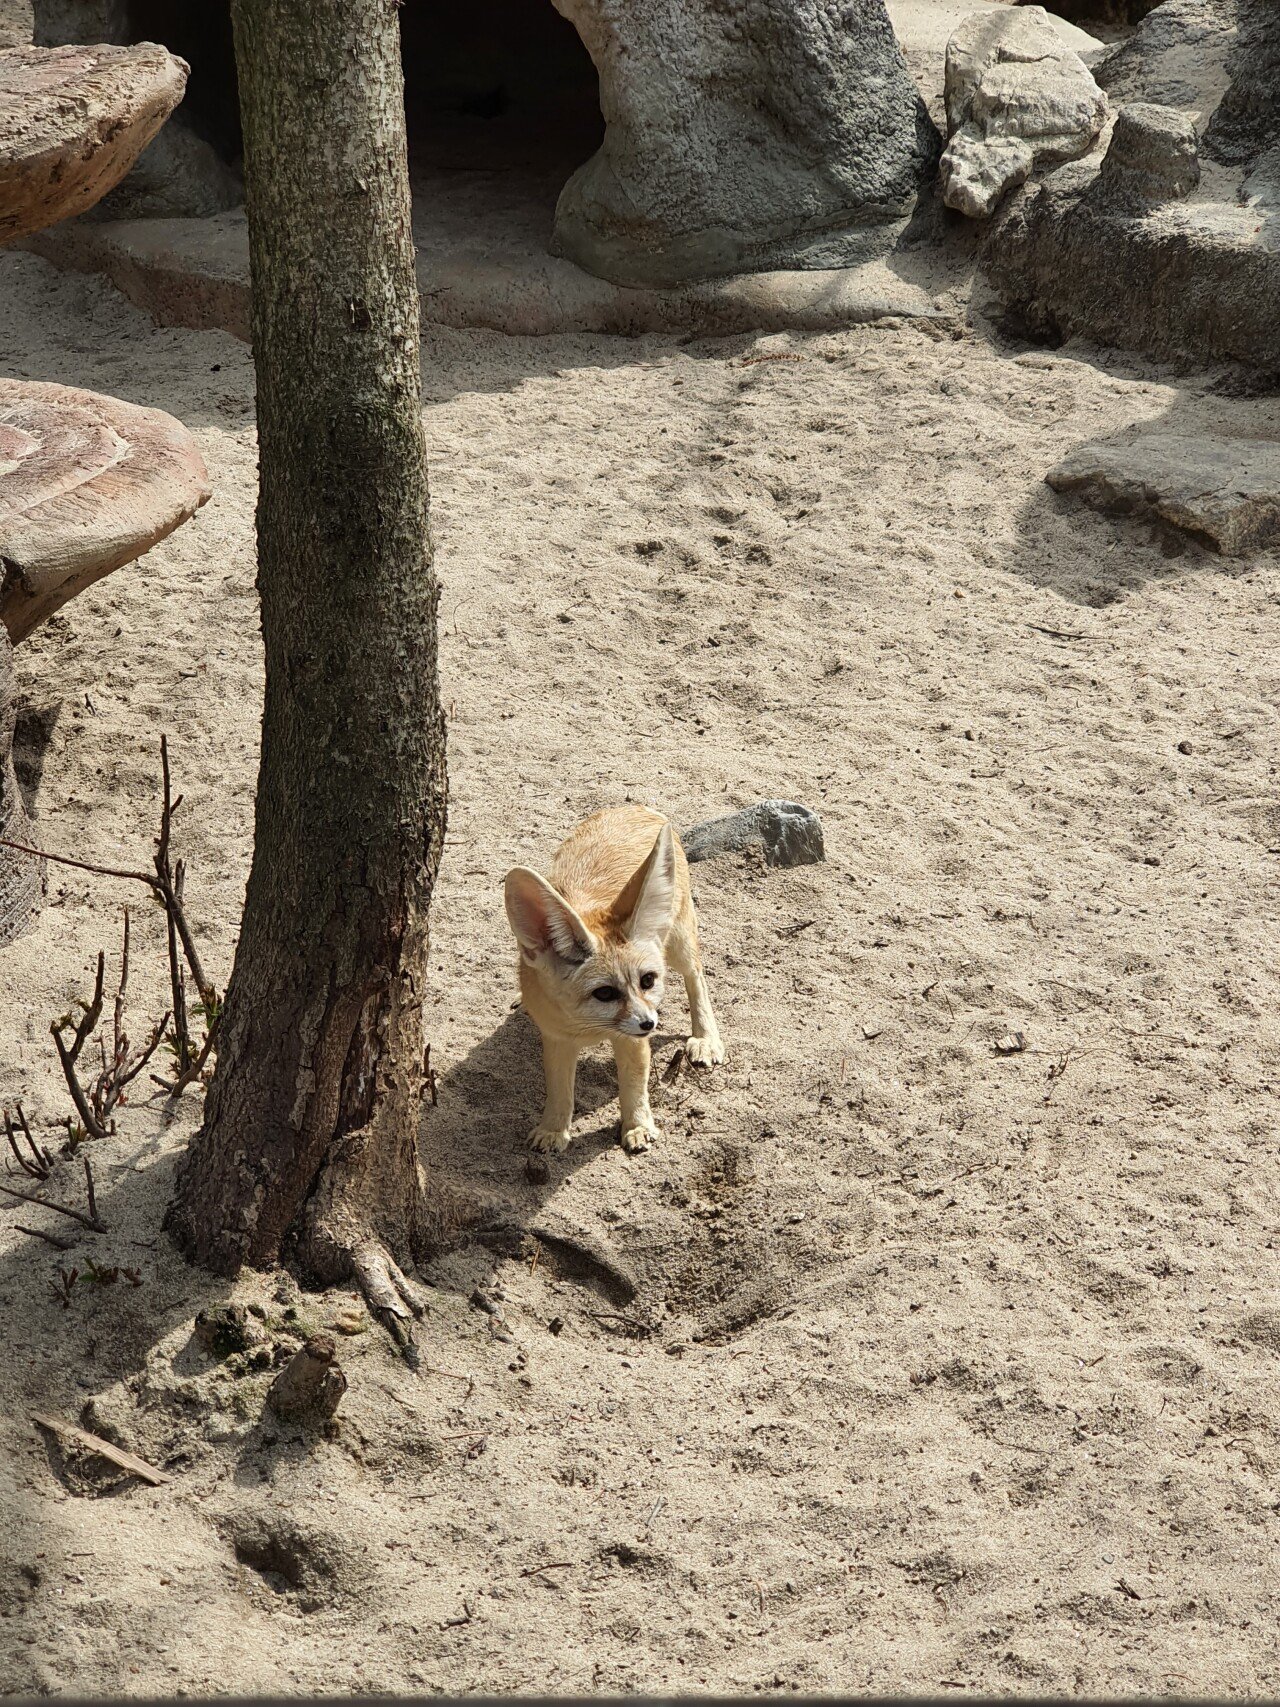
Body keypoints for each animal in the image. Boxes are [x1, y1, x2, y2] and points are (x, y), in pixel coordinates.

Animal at [505, 805, 727, 1153]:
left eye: (647, 981)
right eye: (605, 993)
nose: (650, 1023)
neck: (588, 1027)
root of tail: (632, 806)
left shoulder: (631, 1039)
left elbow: (633, 1085)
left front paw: (637, 1126)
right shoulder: (556, 1037)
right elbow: (558, 1088)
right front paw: (553, 1129)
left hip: (678, 943)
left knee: (697, 977)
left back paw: (705, 1037)